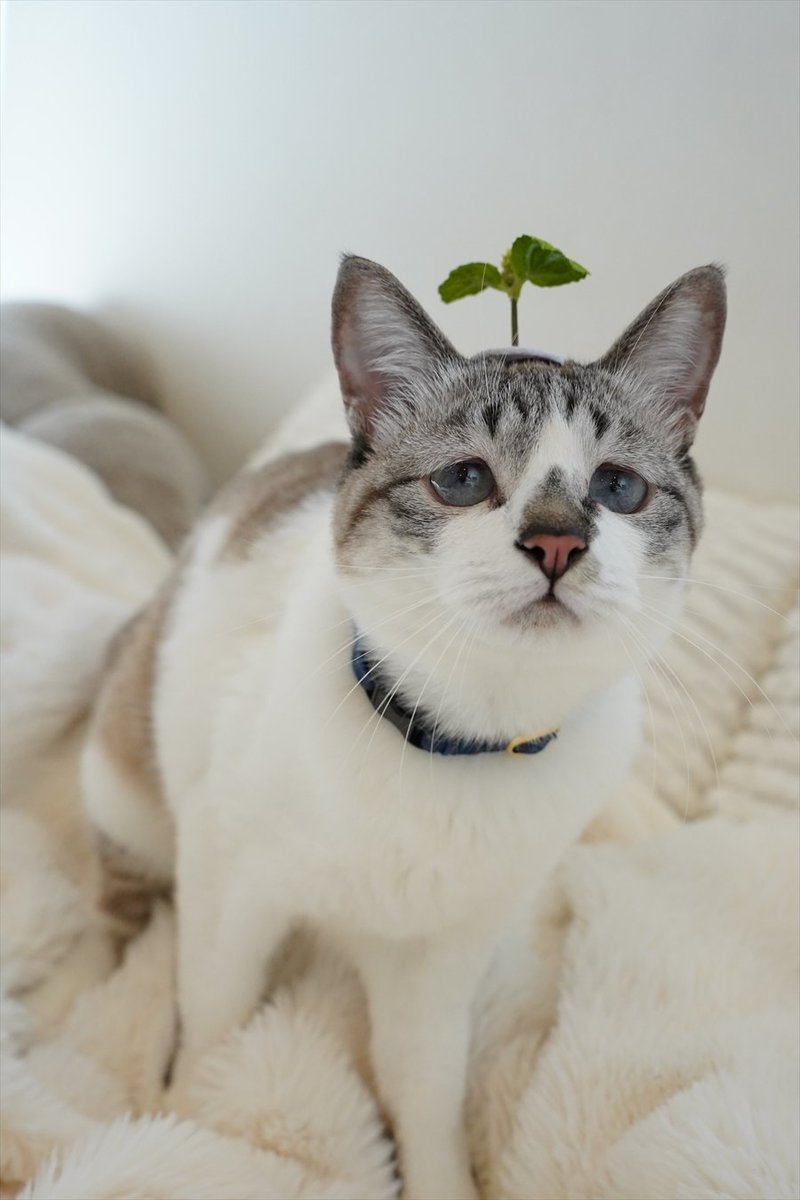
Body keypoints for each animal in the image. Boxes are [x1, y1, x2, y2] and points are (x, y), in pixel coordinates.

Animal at [79, 255, 724, 1200]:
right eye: (464, 481)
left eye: (618, 489)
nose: (558, 543)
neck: (460, 744)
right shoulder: (230, 886)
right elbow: (215, 1026)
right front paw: (191, 1133)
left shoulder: (439, 958)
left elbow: (425, 1091)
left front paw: (439, 1179)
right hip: (131, 788)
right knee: (132, 918)